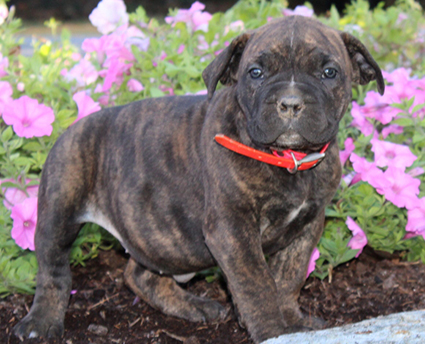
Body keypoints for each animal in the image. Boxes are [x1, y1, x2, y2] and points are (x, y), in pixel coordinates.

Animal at [14, 14, 384, 342]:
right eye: (256, 72)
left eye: (329, 72)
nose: (290, 102)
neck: (287, 159)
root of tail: (73, 126)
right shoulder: (233, 229)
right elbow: (257, 282)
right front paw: (273, 330)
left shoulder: (308, 225)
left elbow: (289, 277)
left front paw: (292, 319)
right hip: (59, 206)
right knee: (53, 270)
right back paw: (41, 322)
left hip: (167, 243)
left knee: (139, 274)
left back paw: (194, 306)